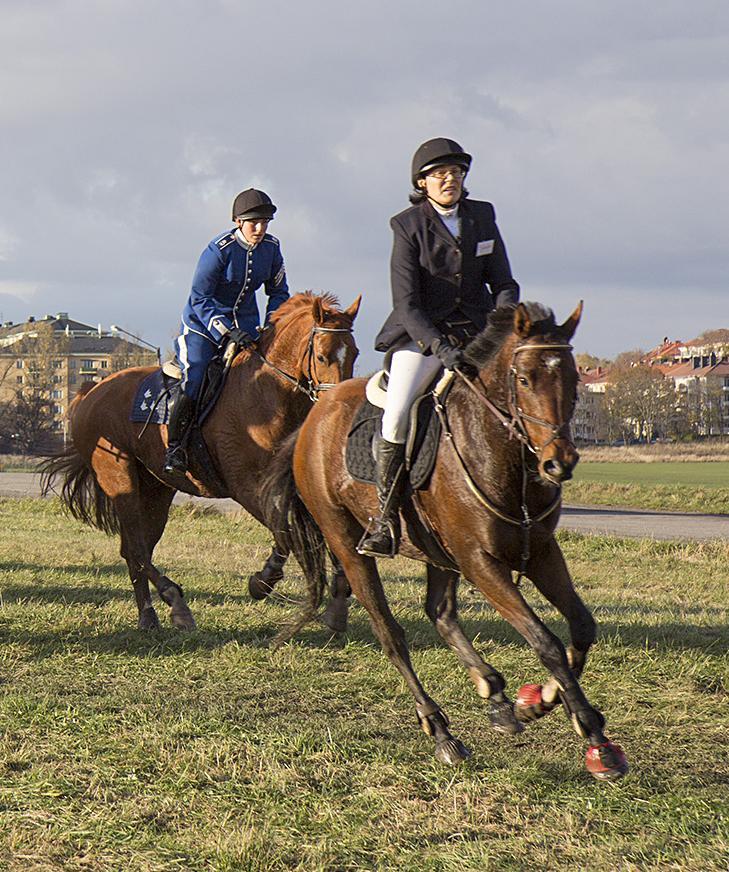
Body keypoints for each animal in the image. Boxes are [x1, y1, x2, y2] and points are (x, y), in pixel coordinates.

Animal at [39, 292, 358, 628]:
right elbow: (286, 531)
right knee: (136, 550)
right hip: (119, 478)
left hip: (156, 489)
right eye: (322, 356)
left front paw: (339, 599)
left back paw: (150, 614)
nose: (338, 405)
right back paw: (171, 601)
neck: (266, 395)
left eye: (354, 353)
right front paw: (263, 581)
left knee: (135, 550)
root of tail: (89, 391)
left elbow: (320, 532)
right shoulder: (248, 488)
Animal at [264, 304, 628, 780]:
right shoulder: (481, 561)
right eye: (524, 379)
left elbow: (582, 626)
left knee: (439, 612)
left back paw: (494, 694)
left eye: (573, 380)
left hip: (438, 550)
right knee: (391, 633)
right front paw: (596, 740)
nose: (558, 463)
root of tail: (313, 416)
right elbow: (544, 640)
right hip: (348, 543)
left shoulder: (541, 553)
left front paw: (543, 699)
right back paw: (439, 729)